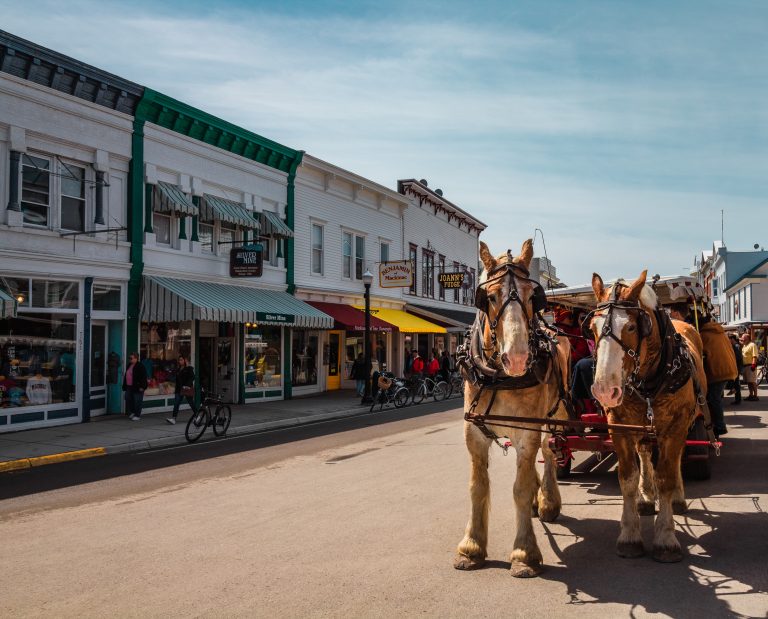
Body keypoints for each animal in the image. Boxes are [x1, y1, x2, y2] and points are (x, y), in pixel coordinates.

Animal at [456, 240, 568, 580]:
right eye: (490, 297)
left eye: (533, 296)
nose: (517, 358)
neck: (498, 377)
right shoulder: (474, 433)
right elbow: (477, 486)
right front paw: (471, 547)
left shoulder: (526, 431)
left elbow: (519, 487)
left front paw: (524, 553)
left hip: (556, 416)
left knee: (550, 451)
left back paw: (547, 502)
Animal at [588, 270, 708, 560]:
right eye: (593, 328)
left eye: (632, 327)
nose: (605, 390)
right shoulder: (619, 426)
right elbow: (627, 478)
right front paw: (630, 534)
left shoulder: (675, 427)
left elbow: (666, 476)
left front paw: (666, 537)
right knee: (644, 453)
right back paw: (645, 498)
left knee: (675, 460)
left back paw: (677, 498)